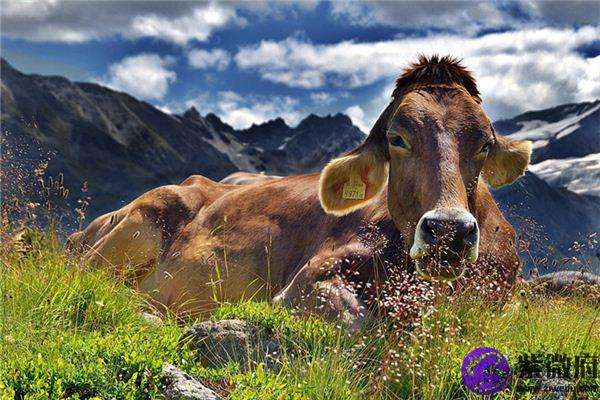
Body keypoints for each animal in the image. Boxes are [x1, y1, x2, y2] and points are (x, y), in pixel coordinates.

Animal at [68, 57, 532, 332]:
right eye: (397, 138)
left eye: (484, 143)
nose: (449, 231)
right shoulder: (305, 282)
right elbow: (358, 322)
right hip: (142, 219)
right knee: (96, 281)